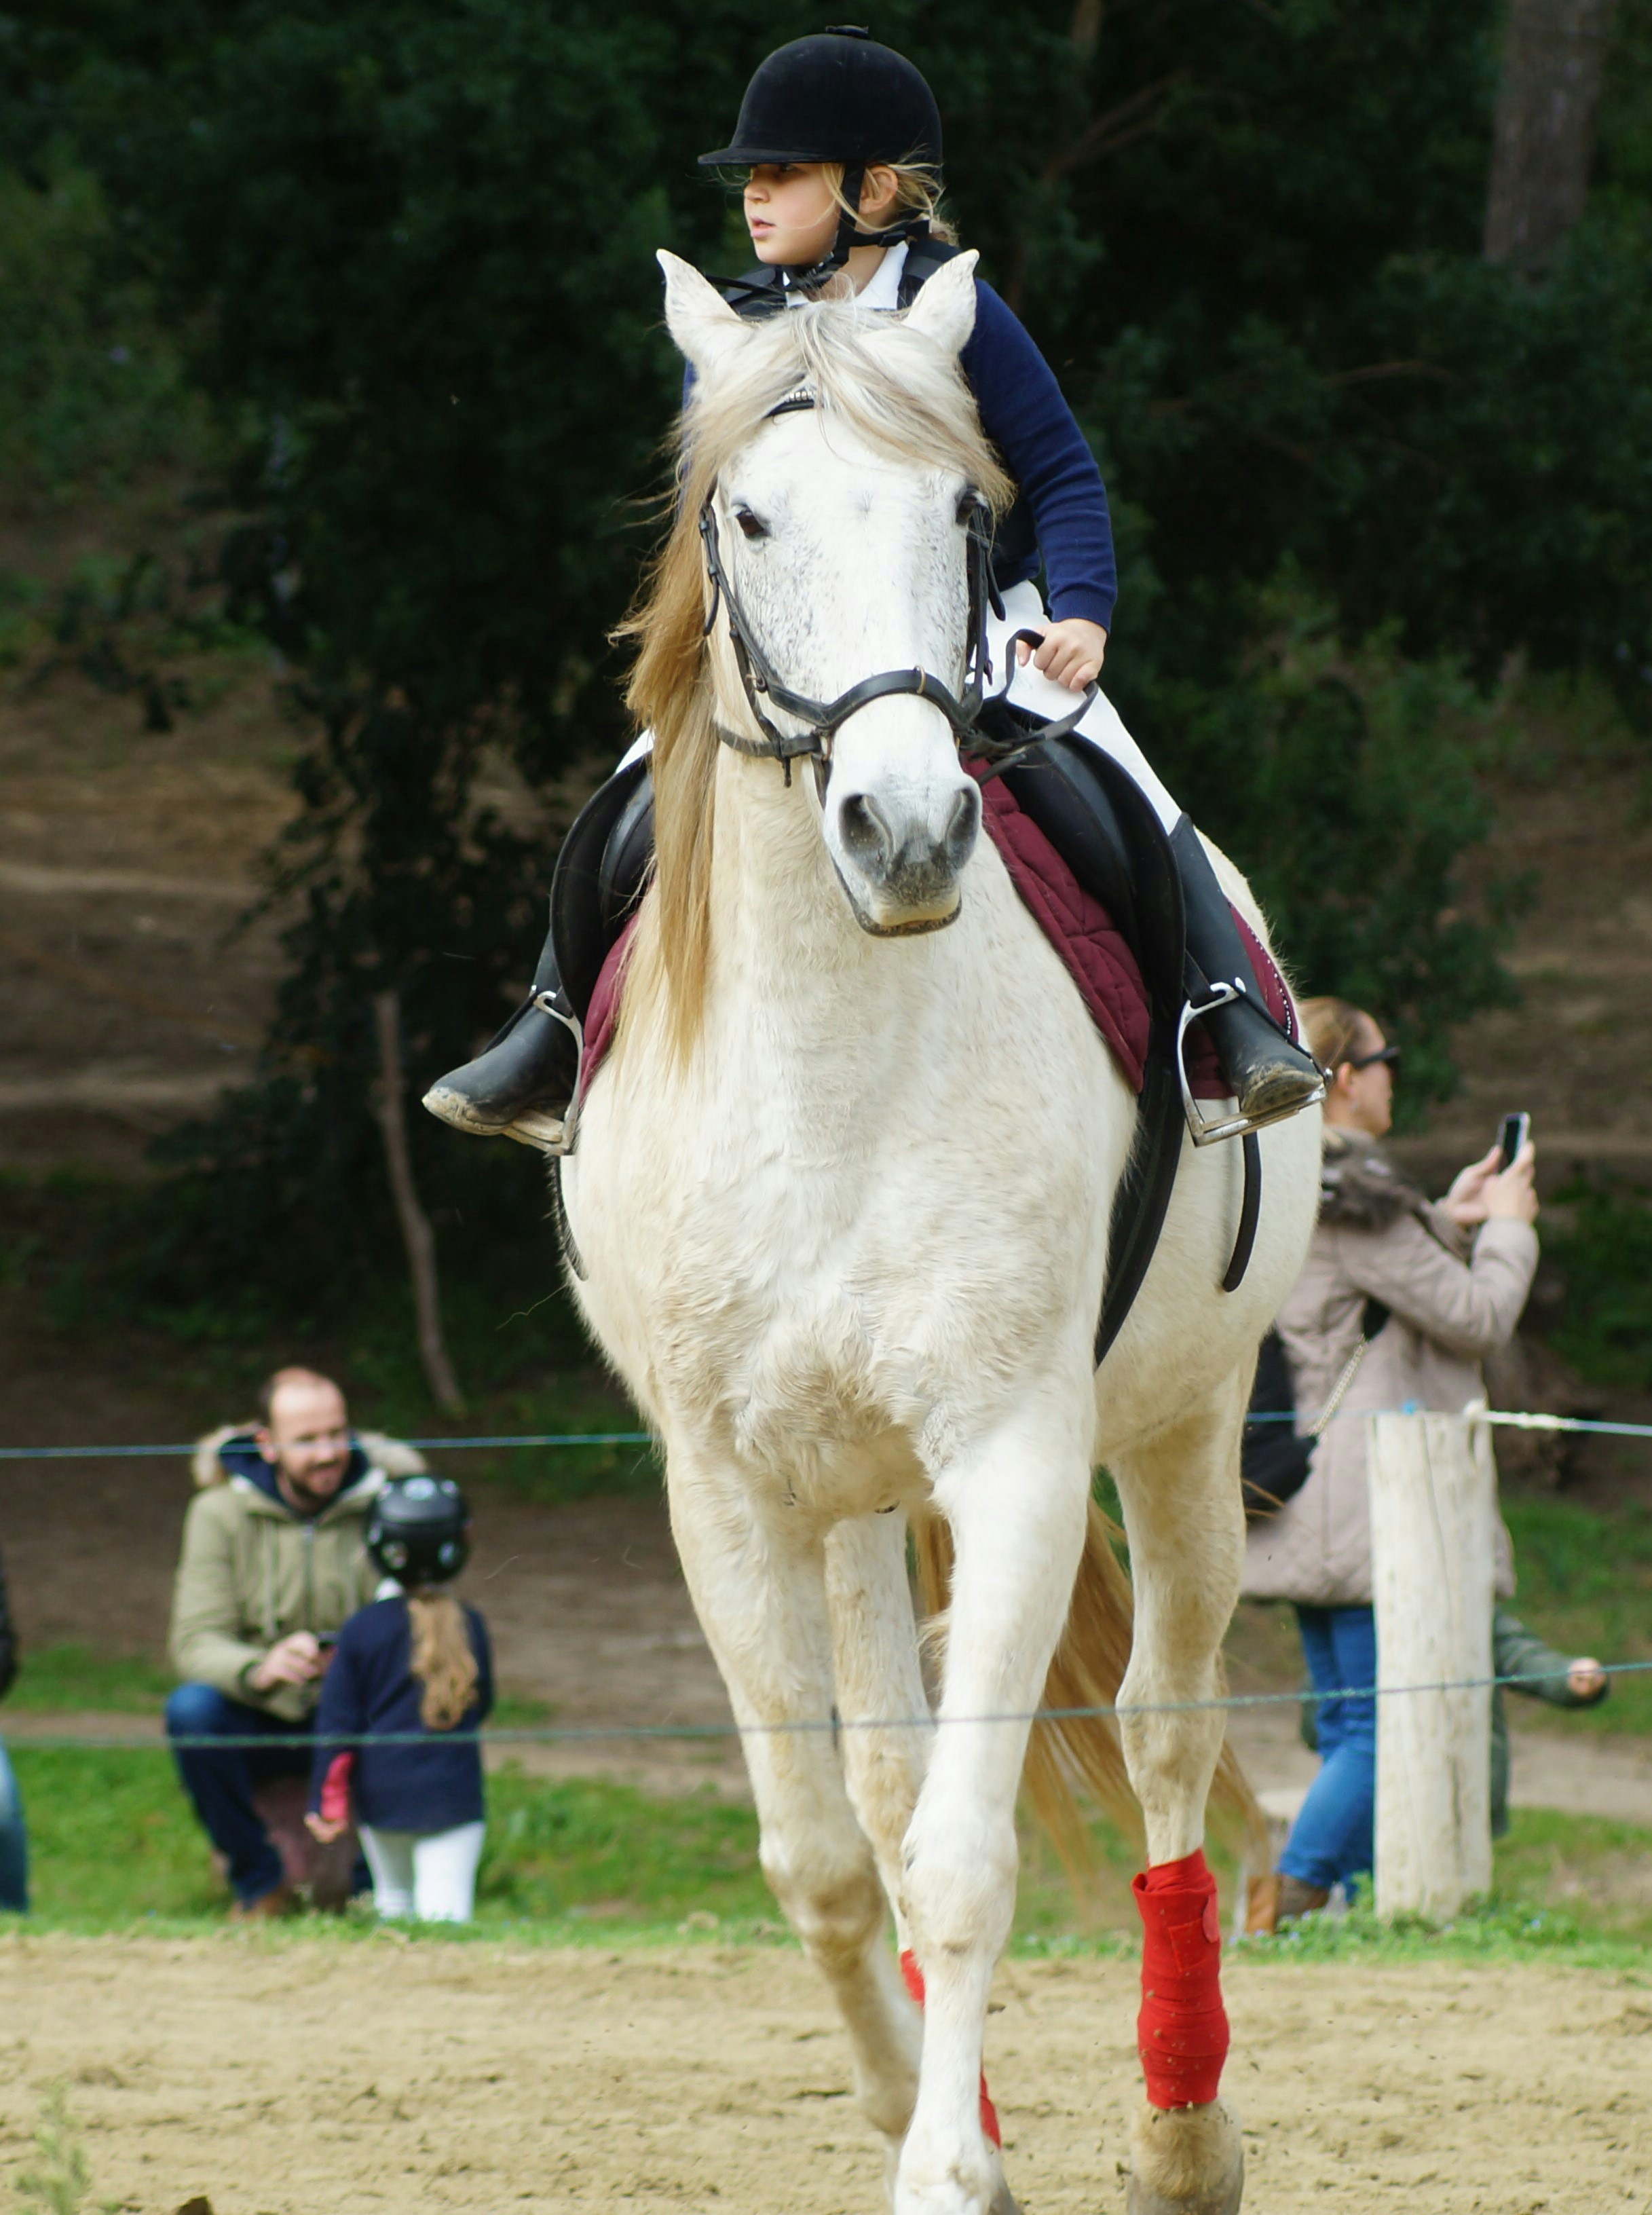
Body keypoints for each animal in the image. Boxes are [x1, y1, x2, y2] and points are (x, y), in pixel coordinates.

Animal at [556, 248, 1321, 2215]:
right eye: (745, 515)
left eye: (963, 513)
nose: (901, 829)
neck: (834, 1063)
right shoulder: (729, 1494)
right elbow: (832, 1853)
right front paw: (929, 2112)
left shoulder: (1018, 1460)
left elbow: (970, 1856)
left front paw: (947, 2166)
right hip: (847, 1498)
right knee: (893, 1788)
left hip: (1181, 1431)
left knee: (1165, 1729)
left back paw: (1183, 2129)